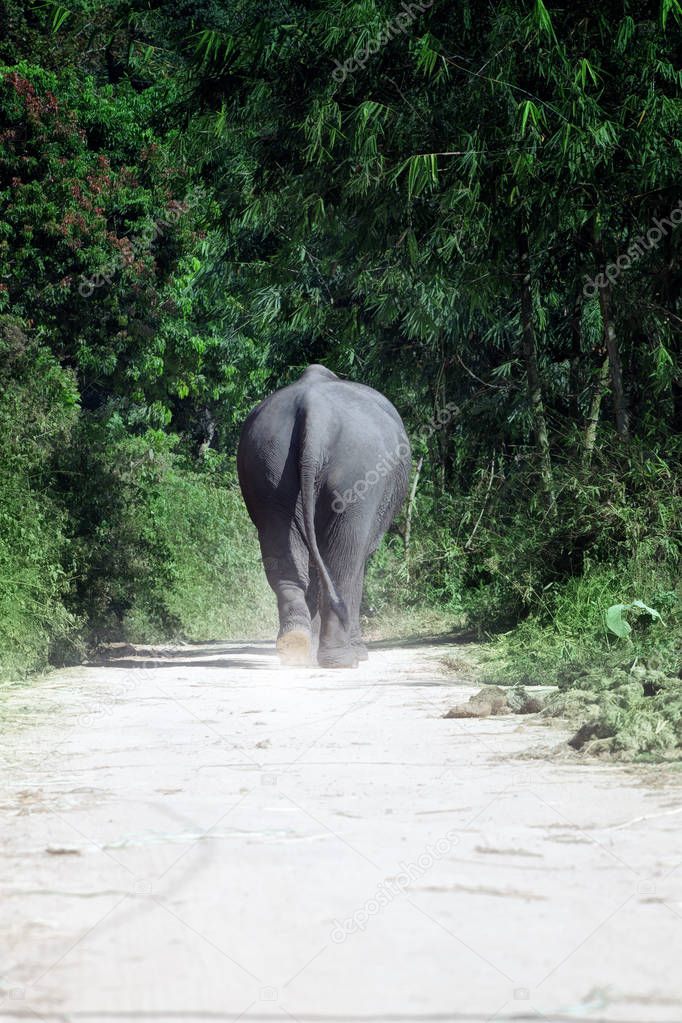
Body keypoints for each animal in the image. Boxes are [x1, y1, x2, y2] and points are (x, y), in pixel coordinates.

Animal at [239, 364, 411, 666]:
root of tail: (314, 412)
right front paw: (358, 652)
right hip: (358, 473)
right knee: (346, 561)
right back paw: (342, 659)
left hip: (267, 463)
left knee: (282, 549)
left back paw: (295, 648)